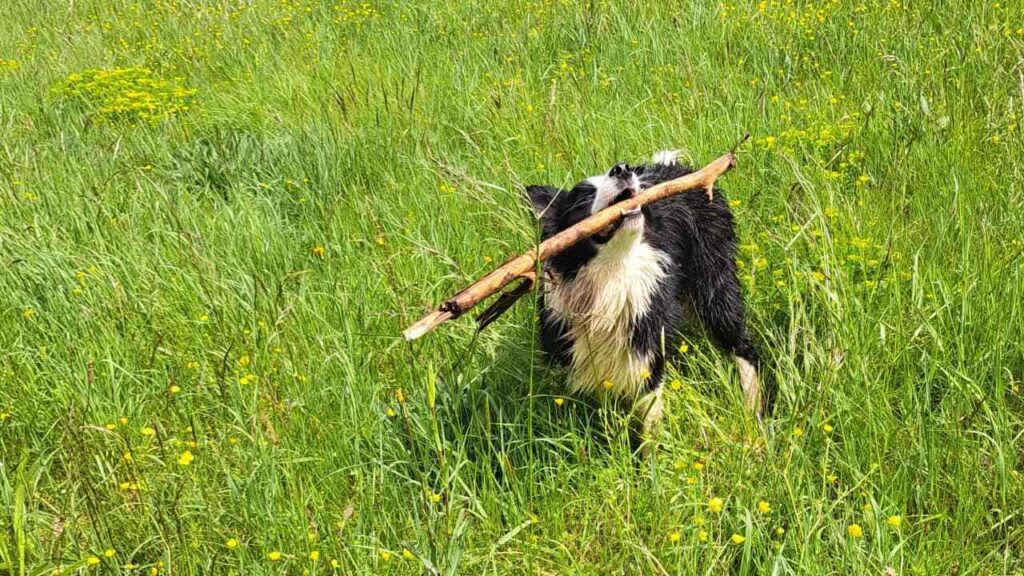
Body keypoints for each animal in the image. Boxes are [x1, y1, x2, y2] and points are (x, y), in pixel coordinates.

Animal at [528, 147, 761, 448]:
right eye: (583, 199)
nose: (622, 169)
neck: (612, 275)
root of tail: (676, 168)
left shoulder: (647, 351)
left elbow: (649, 423)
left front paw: (649, 459)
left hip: (714, 283)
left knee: (741, 344)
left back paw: (753, 410)